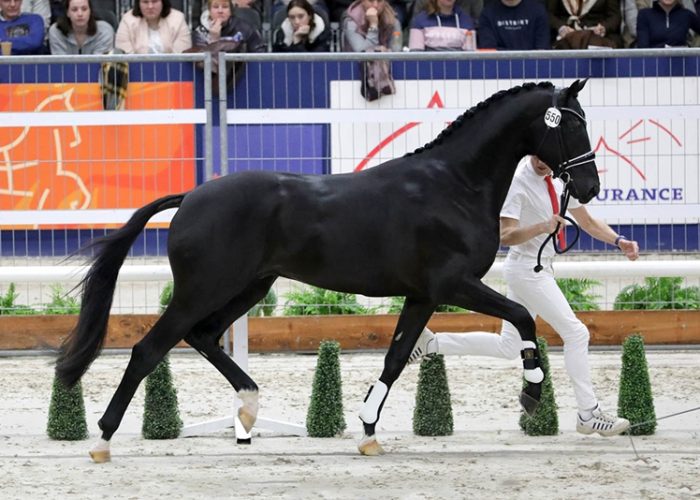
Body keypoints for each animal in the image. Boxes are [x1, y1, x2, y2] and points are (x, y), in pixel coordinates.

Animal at [56, 80, 600, 462]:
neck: (454, 184)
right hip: (205, 288)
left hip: (249, 287)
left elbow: (396, 358)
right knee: (150, 349)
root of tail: (190, 196)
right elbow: (523, 318)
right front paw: (531, 395)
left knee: (203, 337)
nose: (590, 187)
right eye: (571, 125)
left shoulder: (423, 295)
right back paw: (102, 441)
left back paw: (249, 408)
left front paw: (368, 430)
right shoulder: (455, 284)